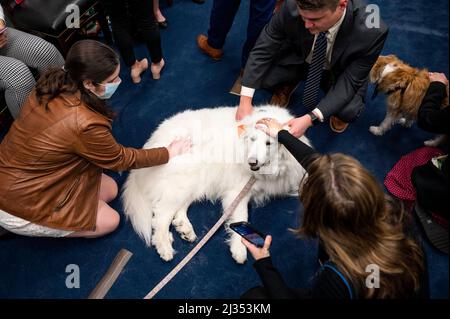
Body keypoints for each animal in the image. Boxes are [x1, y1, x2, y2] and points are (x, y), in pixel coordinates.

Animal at [123, 106, 312, 264]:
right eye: (252, 139)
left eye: (268, 143)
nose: (252, 162)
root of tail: (151, 143)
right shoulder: (238, 191)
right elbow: (241, 217)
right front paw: (239, 249)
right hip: (185, 179)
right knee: (161, 214)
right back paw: (164, 246)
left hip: (197, 181)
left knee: (177, 209)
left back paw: (184, 229)